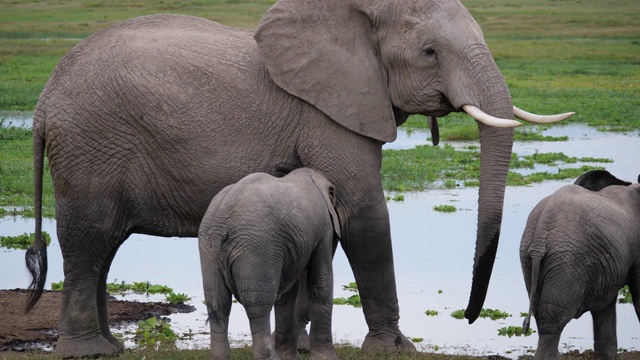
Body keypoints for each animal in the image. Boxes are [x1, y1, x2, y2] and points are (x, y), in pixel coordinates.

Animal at [199, 167, 340, 358]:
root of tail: (219, 226)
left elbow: (287, 293)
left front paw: (290, 358)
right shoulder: (324, 228)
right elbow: (321, 283)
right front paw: (326, 358)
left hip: (207, 245)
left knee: (219, 303)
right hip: (256, 247)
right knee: (257, 305)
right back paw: (270, 357)